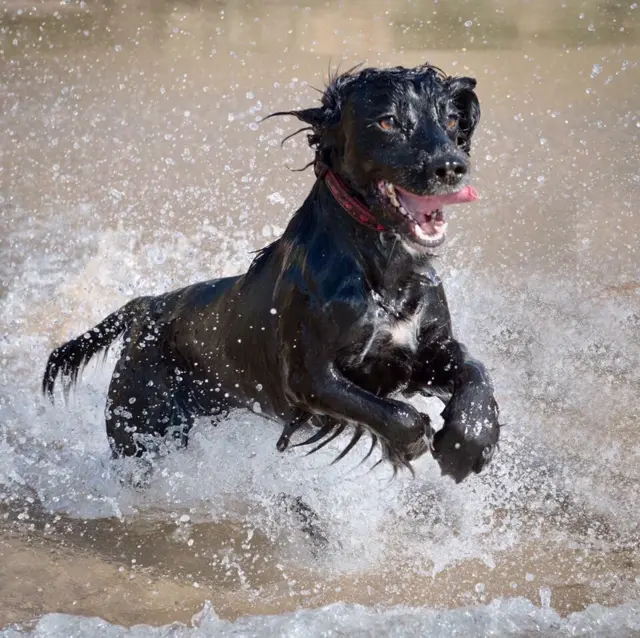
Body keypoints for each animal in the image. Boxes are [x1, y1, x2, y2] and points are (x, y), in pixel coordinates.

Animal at [43, 65, 500, 484]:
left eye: (452, 120)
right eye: (387, 121)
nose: (451, 166)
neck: (382, 269)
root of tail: (148, 306)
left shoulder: (429, 350)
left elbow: (475, 372)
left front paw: (469, 441)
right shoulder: (310, 378)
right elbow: (398, 414)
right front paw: (413, 441)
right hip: (141, 426)